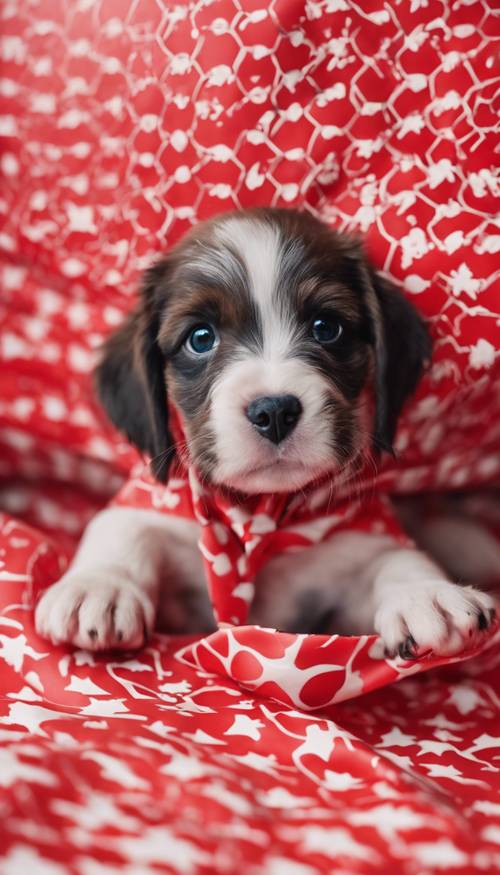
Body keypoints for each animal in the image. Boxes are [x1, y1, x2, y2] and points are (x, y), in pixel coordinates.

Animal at [36, 207, 496, 656]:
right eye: (200, 338)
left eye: (326, 327)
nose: (274, 411)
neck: (261, 518)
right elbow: (123, 526)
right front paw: (99, 584)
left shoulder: (349, 566)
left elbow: (395, 558)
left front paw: (427, 592)